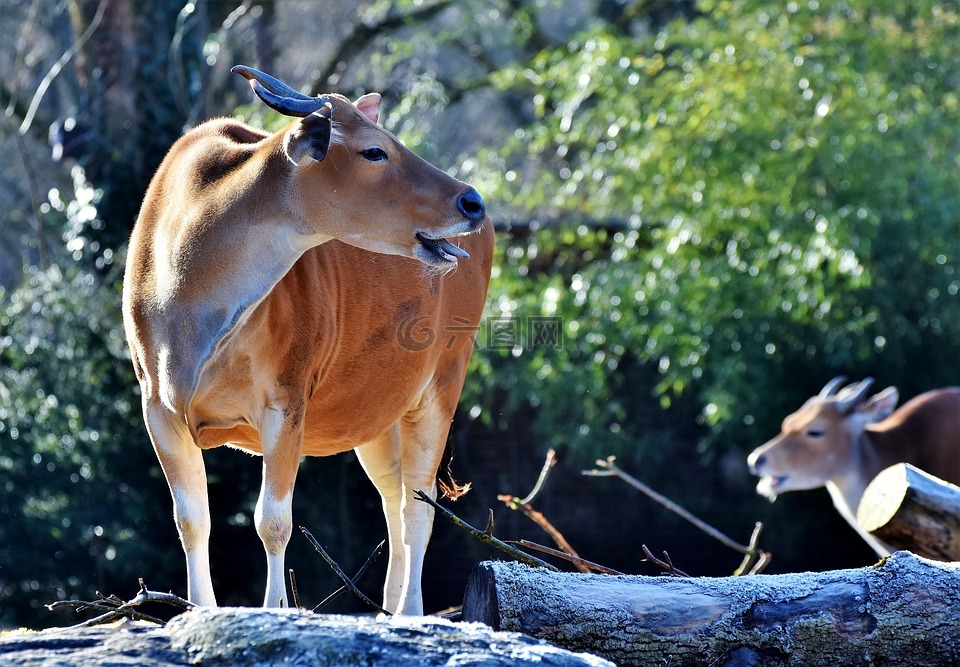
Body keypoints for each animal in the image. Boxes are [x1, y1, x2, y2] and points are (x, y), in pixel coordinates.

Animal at [122, 65, 496, 612]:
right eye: (374, 150)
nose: (471, 202)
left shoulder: (285, 406)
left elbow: (273, 522)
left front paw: (275, 608)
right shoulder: (160, 412)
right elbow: (192, 521)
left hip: (439, 392)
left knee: (418, 507)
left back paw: (410, 612)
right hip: (380, 419)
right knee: (394, 499)